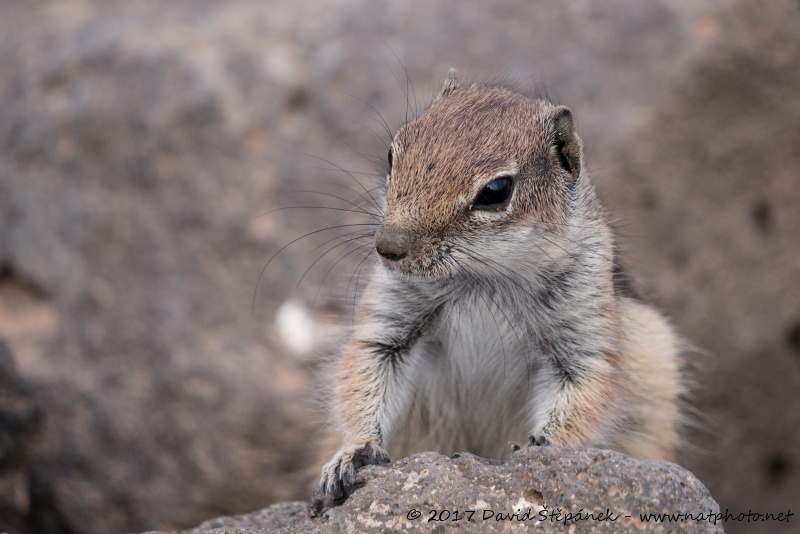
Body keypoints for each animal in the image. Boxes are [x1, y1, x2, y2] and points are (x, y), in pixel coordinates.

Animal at [316, 71, 684, 506]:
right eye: (392, 154)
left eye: (496, 191)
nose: (388, 246)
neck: (484, 276)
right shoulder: (392, 322)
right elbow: (365, 368)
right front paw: (354, 451)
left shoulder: (584, 328)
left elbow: (586, 391)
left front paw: (541, 446)